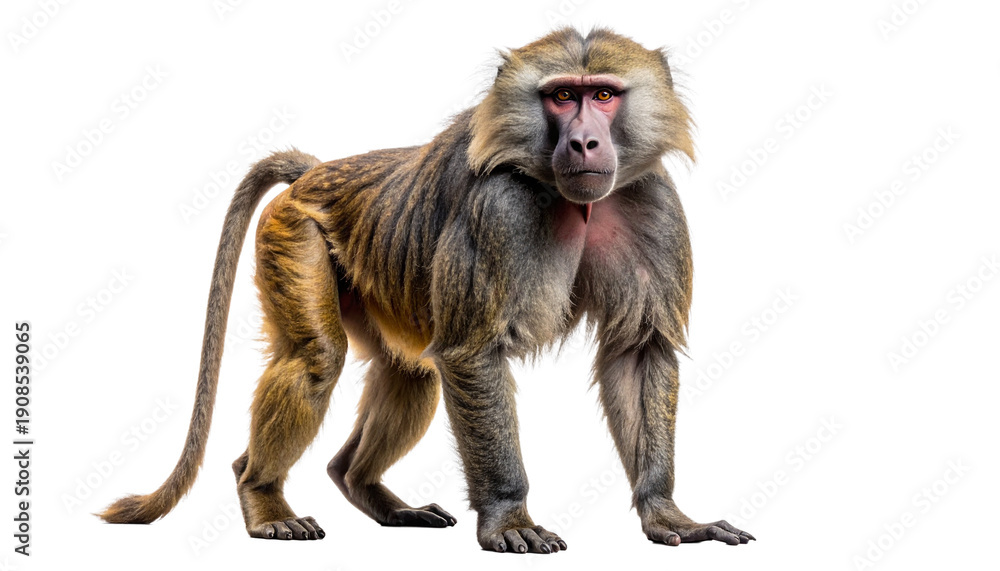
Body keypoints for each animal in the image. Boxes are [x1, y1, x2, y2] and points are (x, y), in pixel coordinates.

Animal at [99, 27, 755, 553]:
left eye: (604, 95)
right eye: (563, 96)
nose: (586, 143)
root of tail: (315, 174)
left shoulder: (653, 204)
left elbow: (638, 353)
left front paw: (666, 513)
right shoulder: (497, 212)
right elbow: (472, 353)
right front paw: (509, 520)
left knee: (410, 374)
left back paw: (368, 490)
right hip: (293, 232)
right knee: (318, 359)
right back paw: (261, 496)